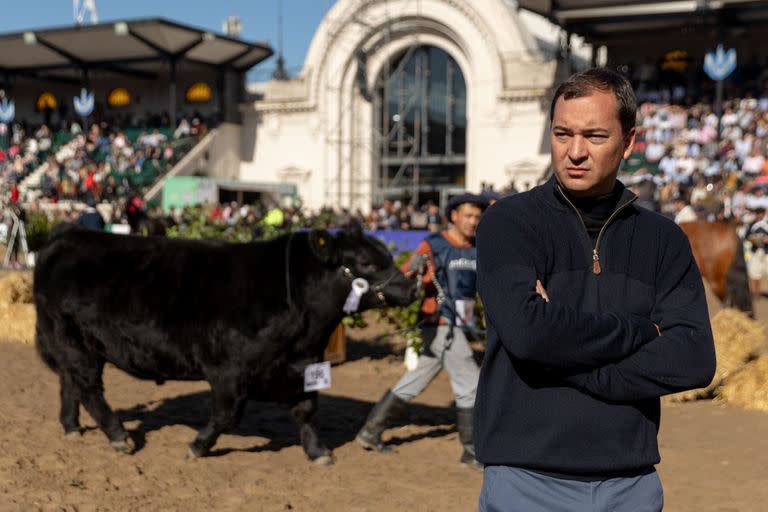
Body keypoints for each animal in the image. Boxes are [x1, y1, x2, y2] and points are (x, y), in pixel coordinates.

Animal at [31, 224, 414, 464]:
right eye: (364, 262)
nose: (412, 288)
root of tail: (65, 236)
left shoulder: (302, 367)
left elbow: (307, 411)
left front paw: (319, 453)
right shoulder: (230, 372)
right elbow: (226, 416)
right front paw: (197, 446)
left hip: (77, 343)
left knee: (70, 383)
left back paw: (72, 427)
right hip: (72, 339)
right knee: (88, 387)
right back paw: (118, 436)